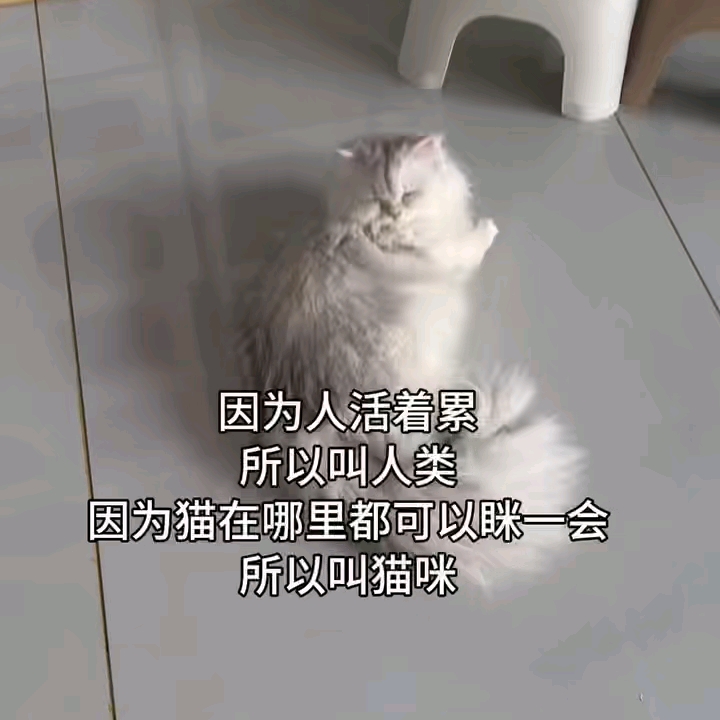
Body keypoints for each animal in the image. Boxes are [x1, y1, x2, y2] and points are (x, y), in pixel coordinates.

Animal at [234, 133, 586, 596]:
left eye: (407, 195)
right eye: (377, 200)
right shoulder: (445, 255)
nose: (394, 213)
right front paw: (488, 228)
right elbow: (471, 245)